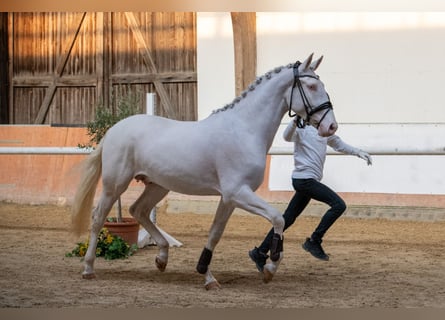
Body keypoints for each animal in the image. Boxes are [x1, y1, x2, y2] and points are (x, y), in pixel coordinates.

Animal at [72, 53, 336, 290]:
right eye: (312, 86)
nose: (331, 126)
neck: (244, 129)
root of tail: (114, 129)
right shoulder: (237, 192)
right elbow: (278, 217)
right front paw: (270, 268)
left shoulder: (229, 198)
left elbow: (215, 233)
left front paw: (206, 275)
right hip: (115, 183)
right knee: (98, 217)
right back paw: (88, 268)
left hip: (158, 186)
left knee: (139, 210)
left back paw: (161, 258)